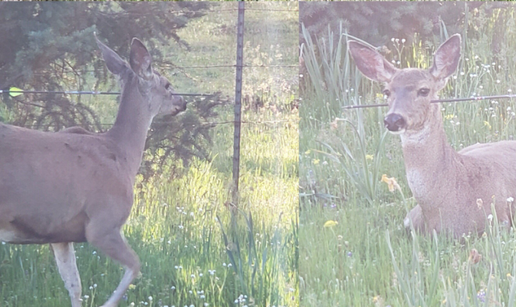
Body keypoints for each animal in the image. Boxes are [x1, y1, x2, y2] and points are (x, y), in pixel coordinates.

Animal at [0, 35, 186, 306]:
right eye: (167, 84)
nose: (183, 101)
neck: (122, 155)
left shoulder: (59, 234)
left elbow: (74, 285)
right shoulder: (103, 221)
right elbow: (135, 265)